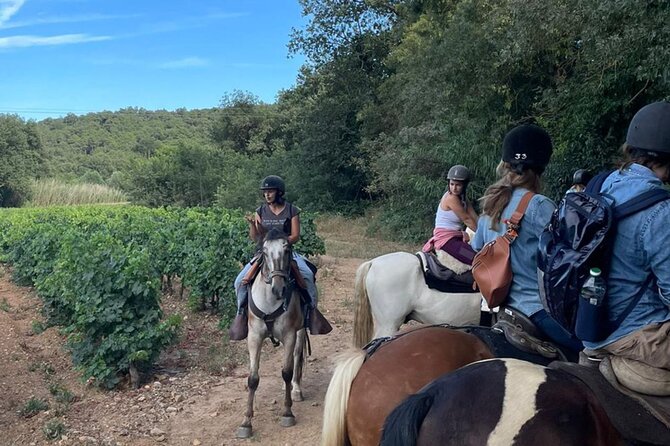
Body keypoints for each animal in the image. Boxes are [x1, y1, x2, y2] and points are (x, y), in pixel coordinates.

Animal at [238, 230, 306, 440]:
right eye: (264, 252)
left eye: (287, 250)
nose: (278, 289)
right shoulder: (254, 337)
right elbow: (253, 378)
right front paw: (246, 422)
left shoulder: (290, 334)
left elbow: (286, 372)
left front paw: (287, 413)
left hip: (301, 330)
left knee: (297, 356)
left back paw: (296, 389)